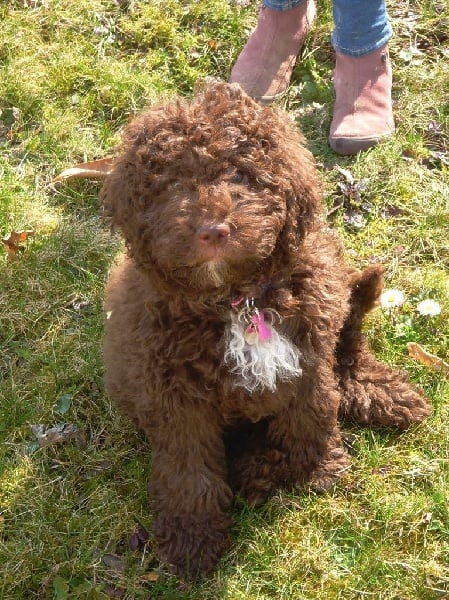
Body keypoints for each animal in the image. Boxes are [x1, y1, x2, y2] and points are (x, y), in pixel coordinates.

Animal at [100, 79, 428, 576]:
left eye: (241, 176)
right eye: (172, 185)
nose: (213, 230)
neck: (239, 299)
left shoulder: (309, 352)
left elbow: (314, 411)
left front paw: (316, 469)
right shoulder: (173, 395)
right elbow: (187, 468)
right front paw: (193, 538)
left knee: (349, 353)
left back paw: (384, 395)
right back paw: (258, 472)